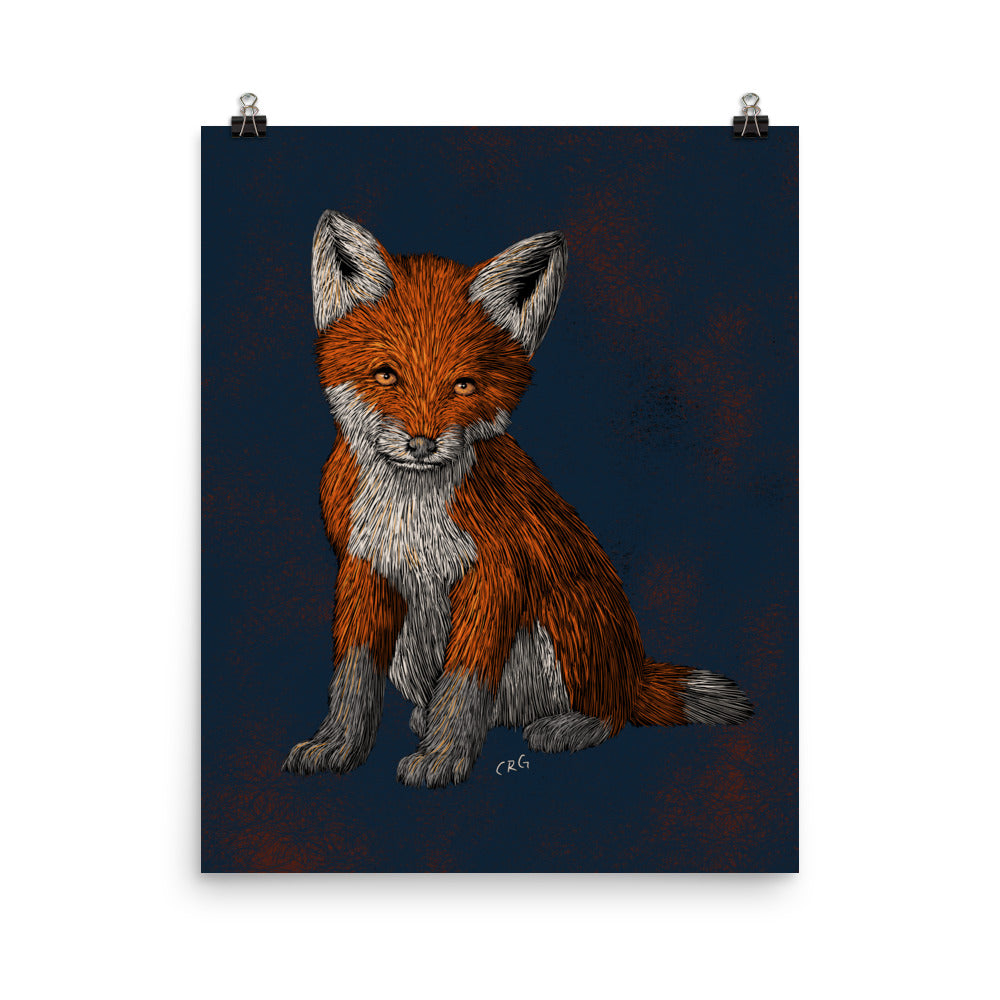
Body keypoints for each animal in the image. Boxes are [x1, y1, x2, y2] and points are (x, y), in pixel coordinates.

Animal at [281, 210, 753, 788]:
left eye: (463, 385)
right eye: (386, 375)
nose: (422, 444)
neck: (412, 513)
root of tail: (633, 668)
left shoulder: (497, 574)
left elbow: (464, 683)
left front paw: (443, 757)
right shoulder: (363, 566)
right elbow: (352, 676)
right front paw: (338, 745)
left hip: (569, 620)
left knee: (611, 713)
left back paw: (568, 726)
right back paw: (428, 717)